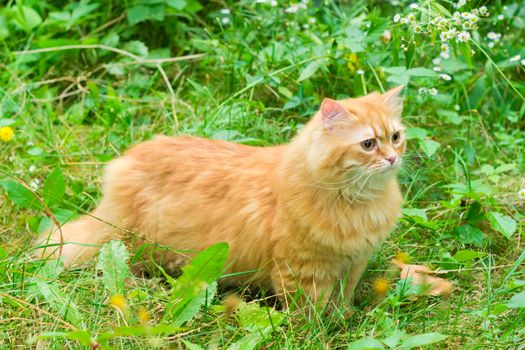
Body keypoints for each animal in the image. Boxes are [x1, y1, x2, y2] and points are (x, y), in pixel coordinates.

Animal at [33, 86, 406, 308]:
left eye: (396, 136)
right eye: (368, 144)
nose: (392, 158)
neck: (358, 201)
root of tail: (124, 165)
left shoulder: (354, 263)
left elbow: (342, 301)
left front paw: (342, 318)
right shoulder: (301, 269)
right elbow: (308, 312)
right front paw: (319, 332)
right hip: (138, 243)